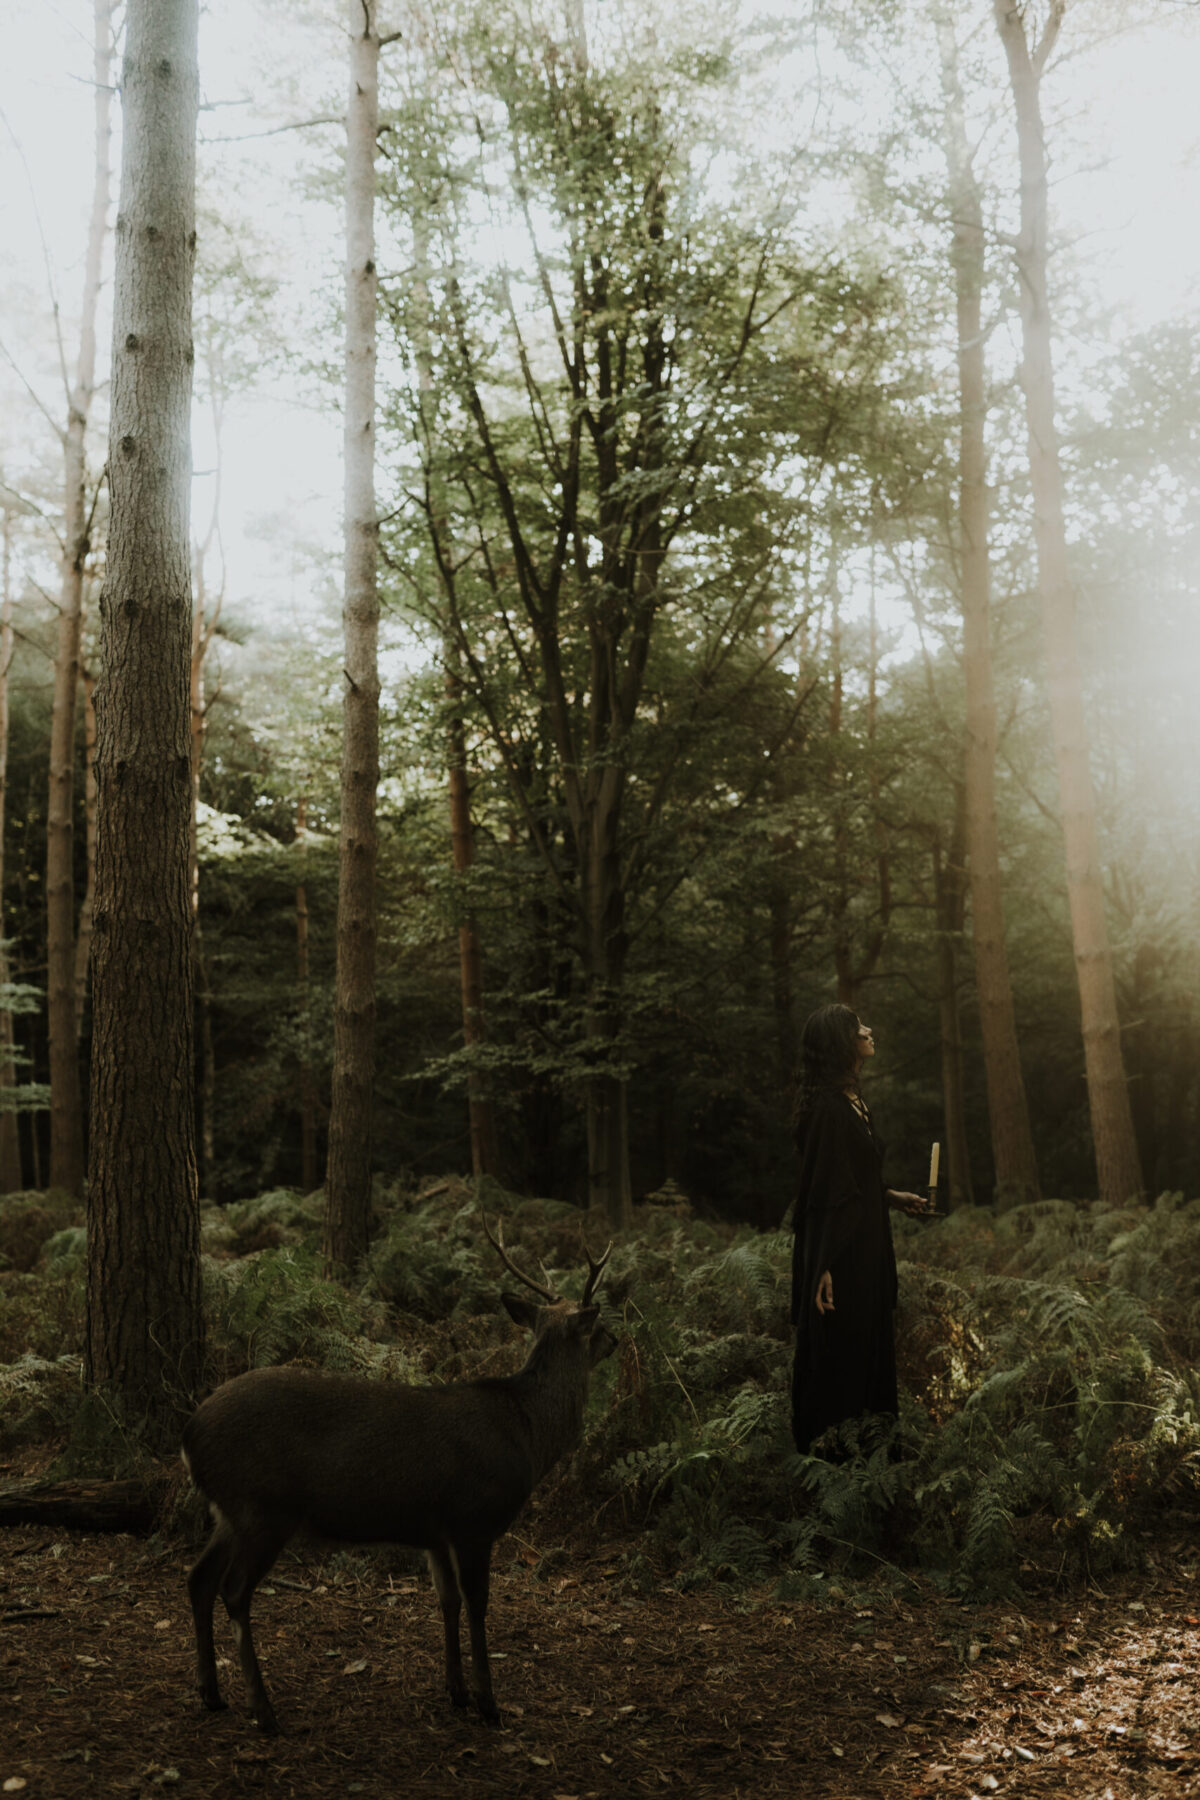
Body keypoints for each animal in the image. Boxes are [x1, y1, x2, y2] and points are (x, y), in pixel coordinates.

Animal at [183, 1216, 615, 1735]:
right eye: (596, 1325)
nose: (615, 1340)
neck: (528, 1434)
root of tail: (189, 1437)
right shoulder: (474, 1520)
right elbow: (477, 1603)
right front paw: (489, 1702)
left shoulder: (436, 1533)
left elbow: (447, 1601)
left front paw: (456, 1691)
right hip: (262, 1508)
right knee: (233, 1590)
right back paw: (263, 1710)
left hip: (229, 1511)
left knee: (198, 1579)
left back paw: (211, 1694)